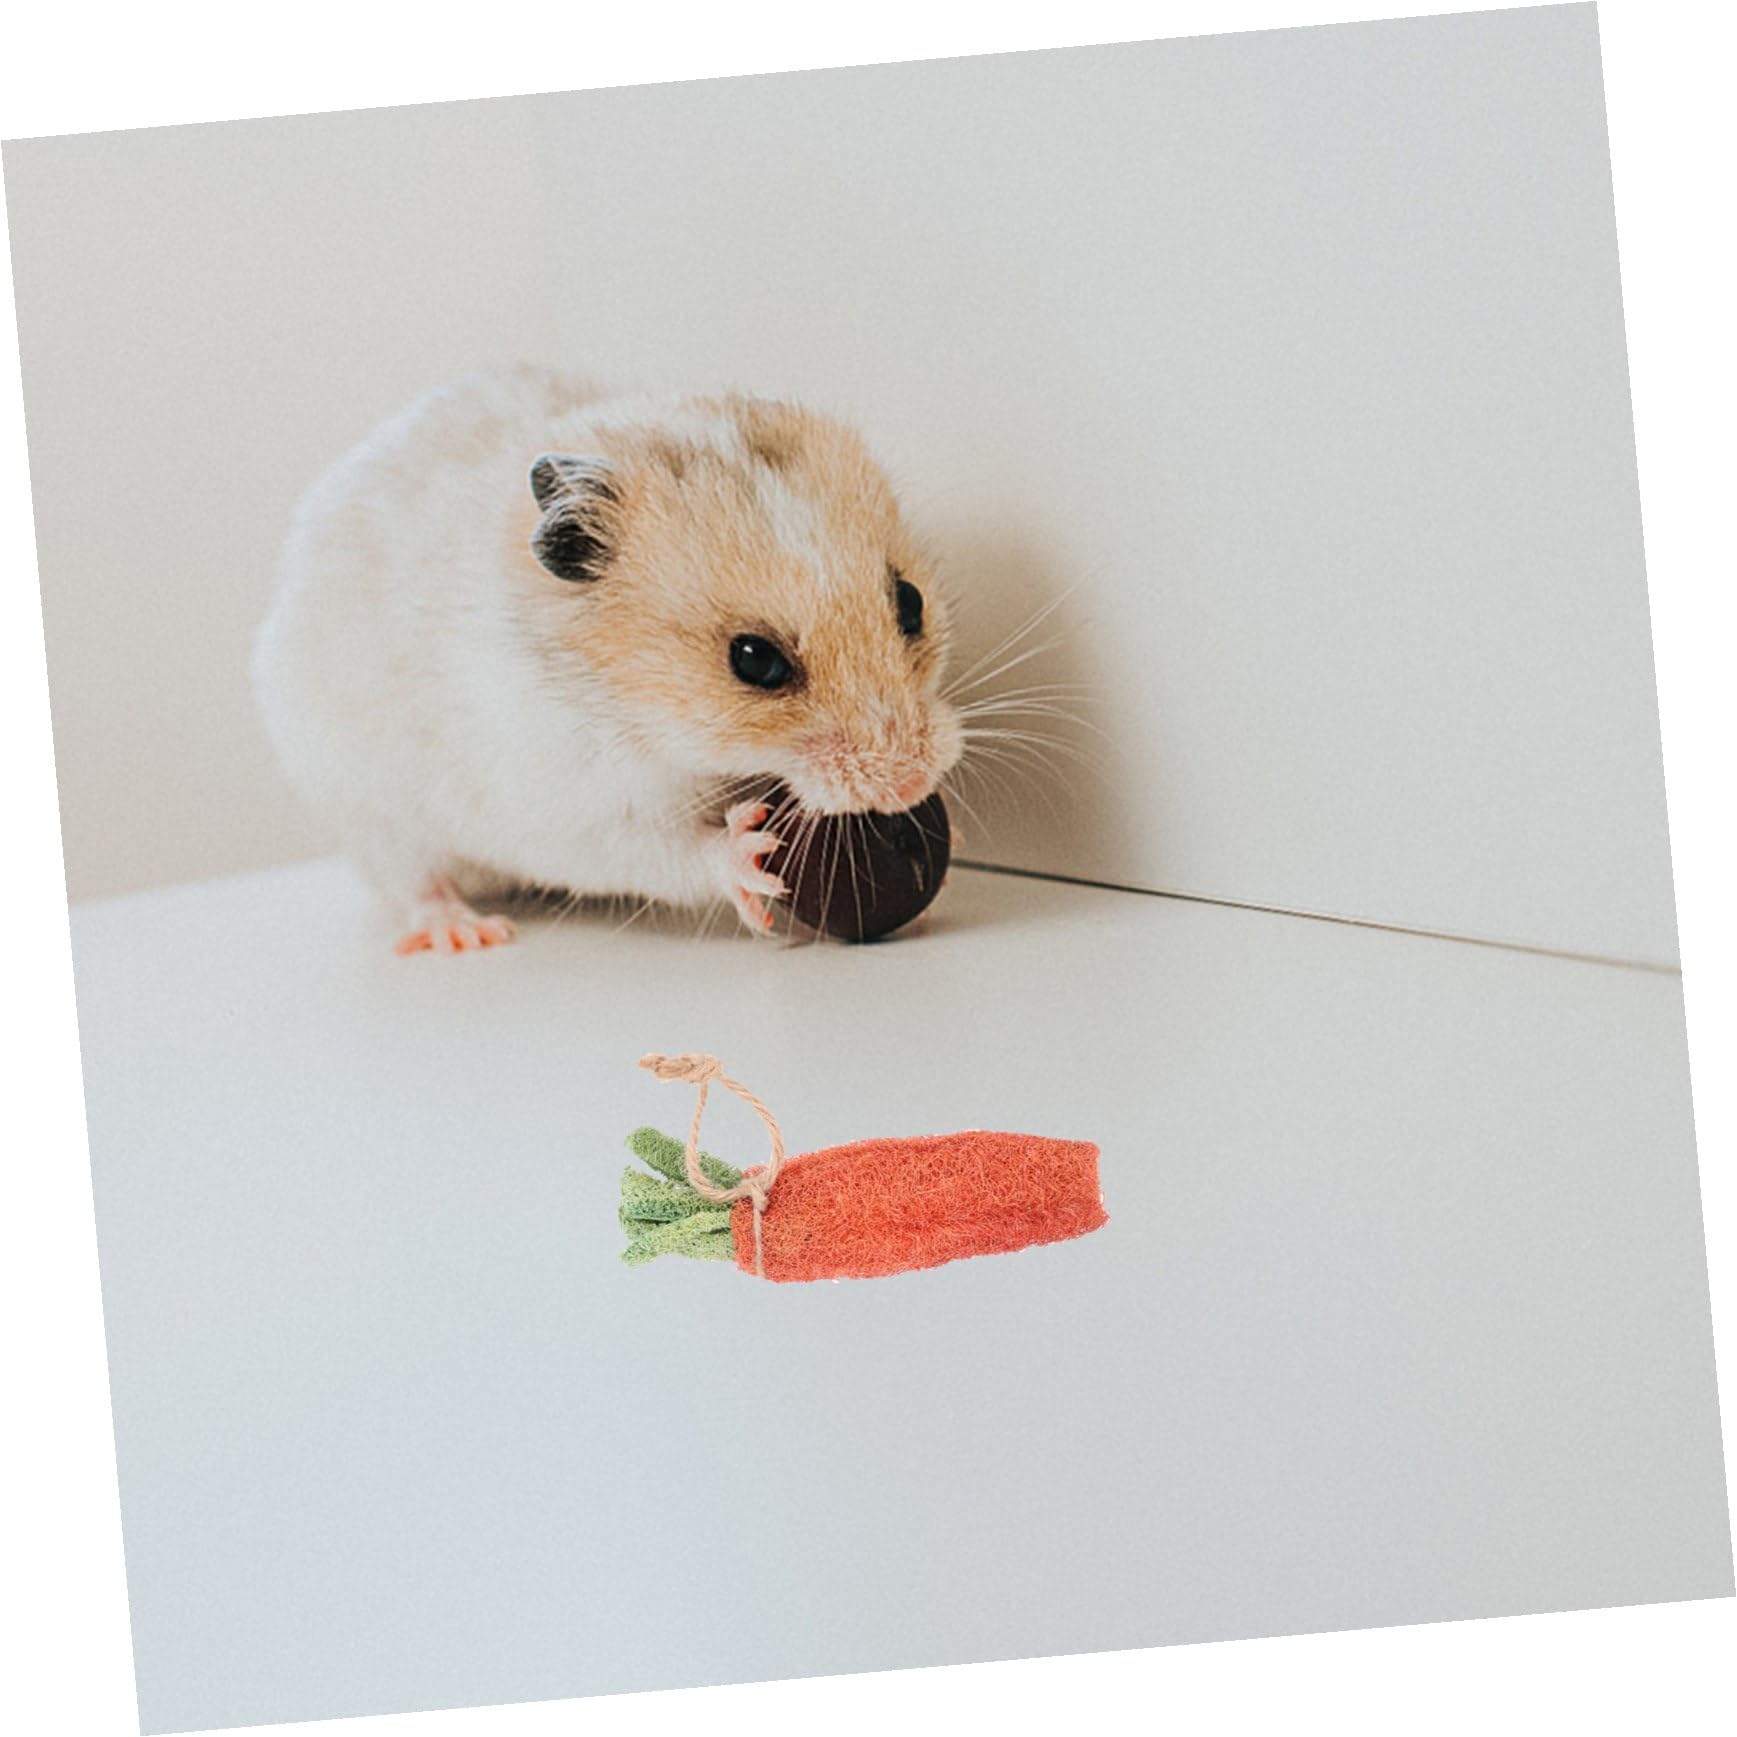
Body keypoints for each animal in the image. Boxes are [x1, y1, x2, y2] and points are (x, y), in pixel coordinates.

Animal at [252, 366, 965, 953]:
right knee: (412, 881)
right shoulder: (571, 807)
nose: (909, 784)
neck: (640, 710)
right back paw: (469, 933)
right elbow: (663, 852)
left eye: (910, 603)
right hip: (366, 808)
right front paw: (751, 854)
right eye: (754, 660)